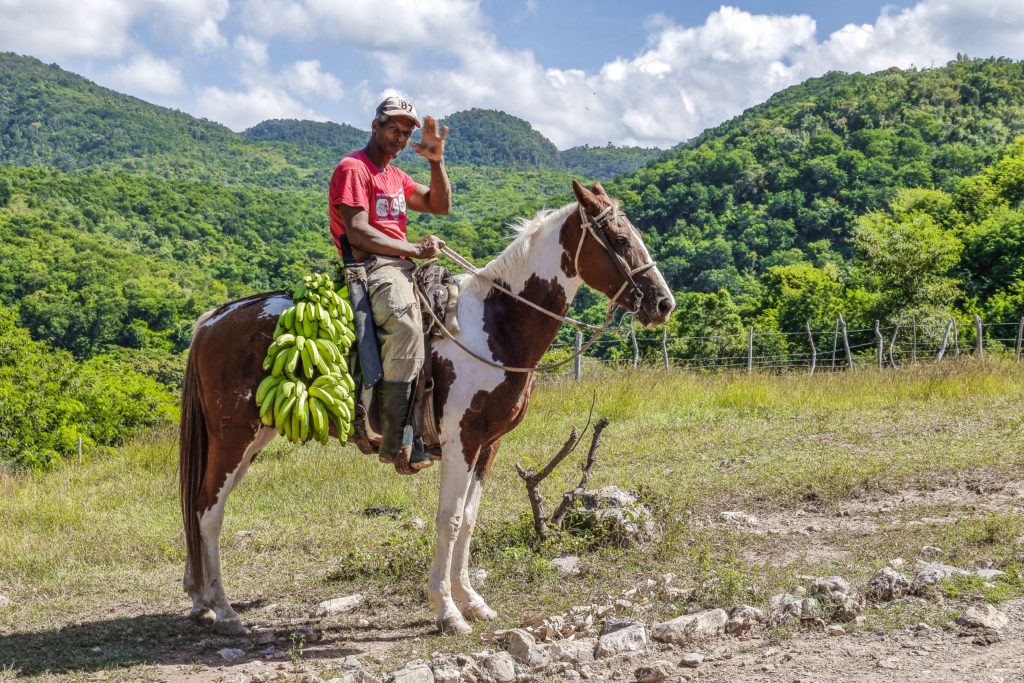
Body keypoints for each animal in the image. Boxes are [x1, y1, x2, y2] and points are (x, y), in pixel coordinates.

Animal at [180, 180, 675, 634]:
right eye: (618, 238)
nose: (663, 303)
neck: (495, 325)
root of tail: (213, 319)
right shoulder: (460, 441)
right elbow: (449, 520)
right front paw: (447, 609)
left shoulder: (488, 444)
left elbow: (470, 519)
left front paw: (472, 601)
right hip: (233, 437)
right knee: (207, 510)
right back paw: (224, 610)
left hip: (250, 441)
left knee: (205, 507)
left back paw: (202, 601)